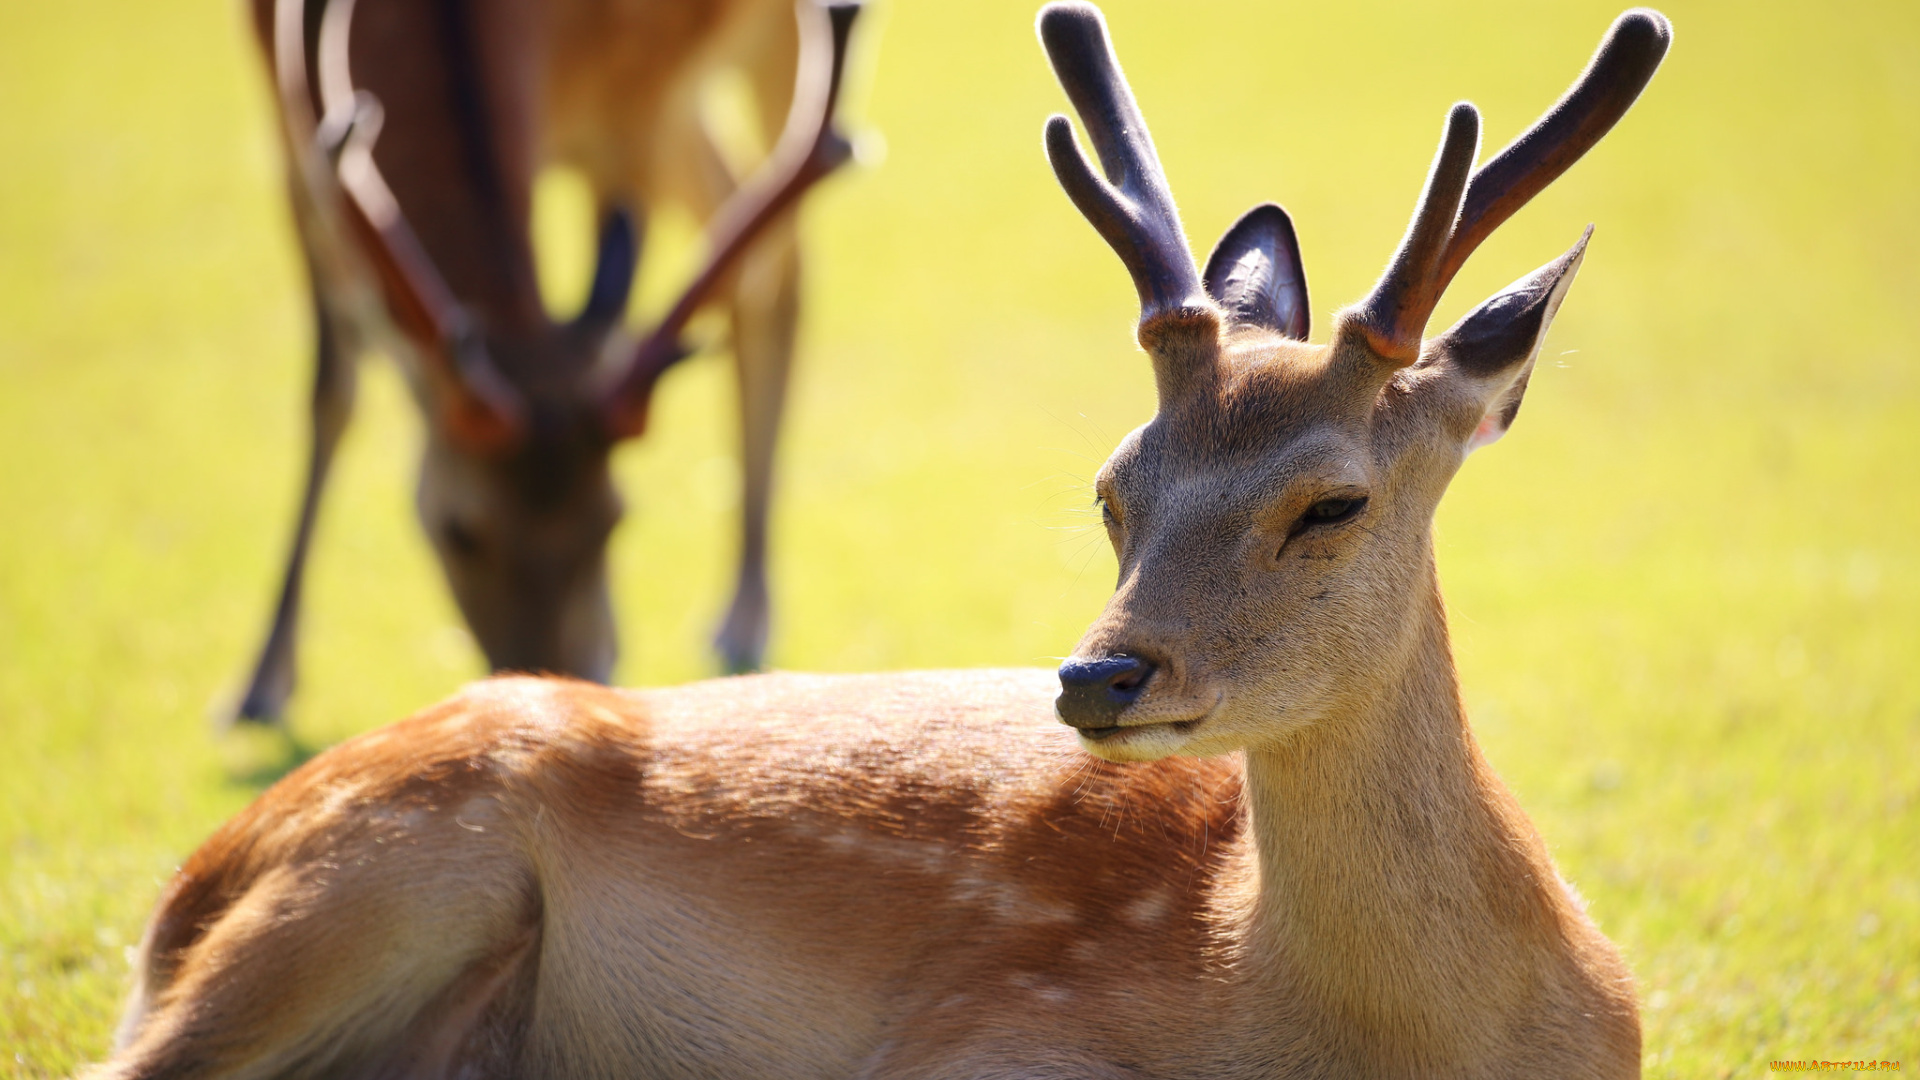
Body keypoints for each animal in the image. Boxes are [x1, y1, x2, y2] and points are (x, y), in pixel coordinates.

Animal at [228, 0, 860, 722]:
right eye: (458, 531)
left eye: (614, 519)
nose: (547, 680)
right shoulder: (290, 126)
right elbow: (332, 391)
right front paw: (261, 682)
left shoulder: (633, 112)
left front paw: (613, 652)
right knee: (754, 243)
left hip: (764, 55)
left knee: (775, 264)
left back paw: (745, 615)